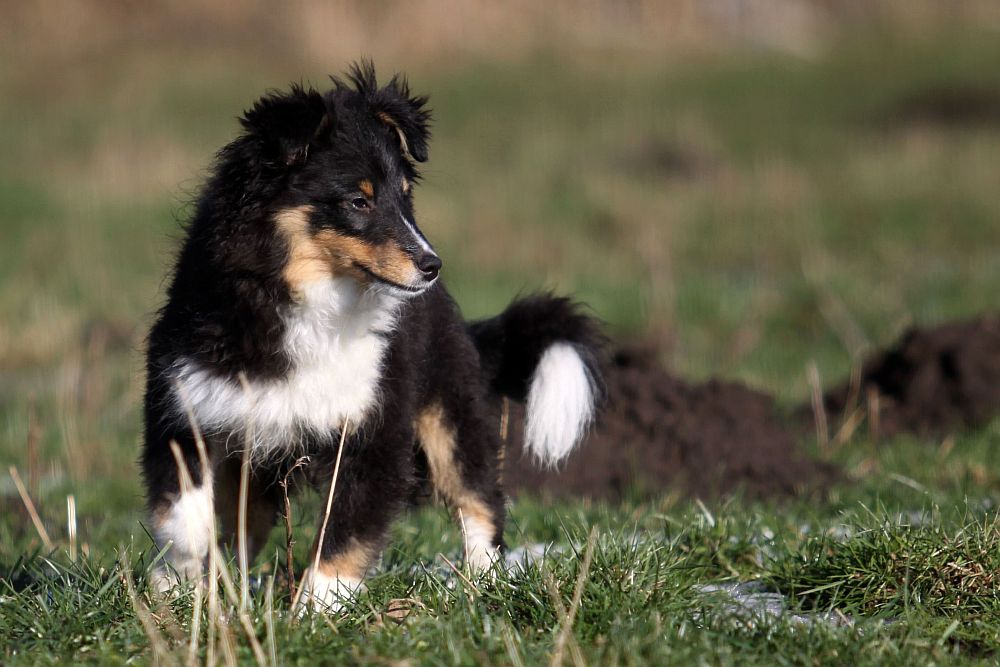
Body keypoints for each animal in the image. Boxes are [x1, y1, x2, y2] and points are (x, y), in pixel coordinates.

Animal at [143, 65, 600, 612]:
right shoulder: (187, 399)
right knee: (245, 523)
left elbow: (344, 532)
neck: (312, 297)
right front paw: (178, 585)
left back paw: (481, 585)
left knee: (478, 497)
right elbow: (183, 510)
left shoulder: (373, 427)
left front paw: (316, 611)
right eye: (358, 201)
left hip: (448, 410)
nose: (431, 265)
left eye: (405, 196)